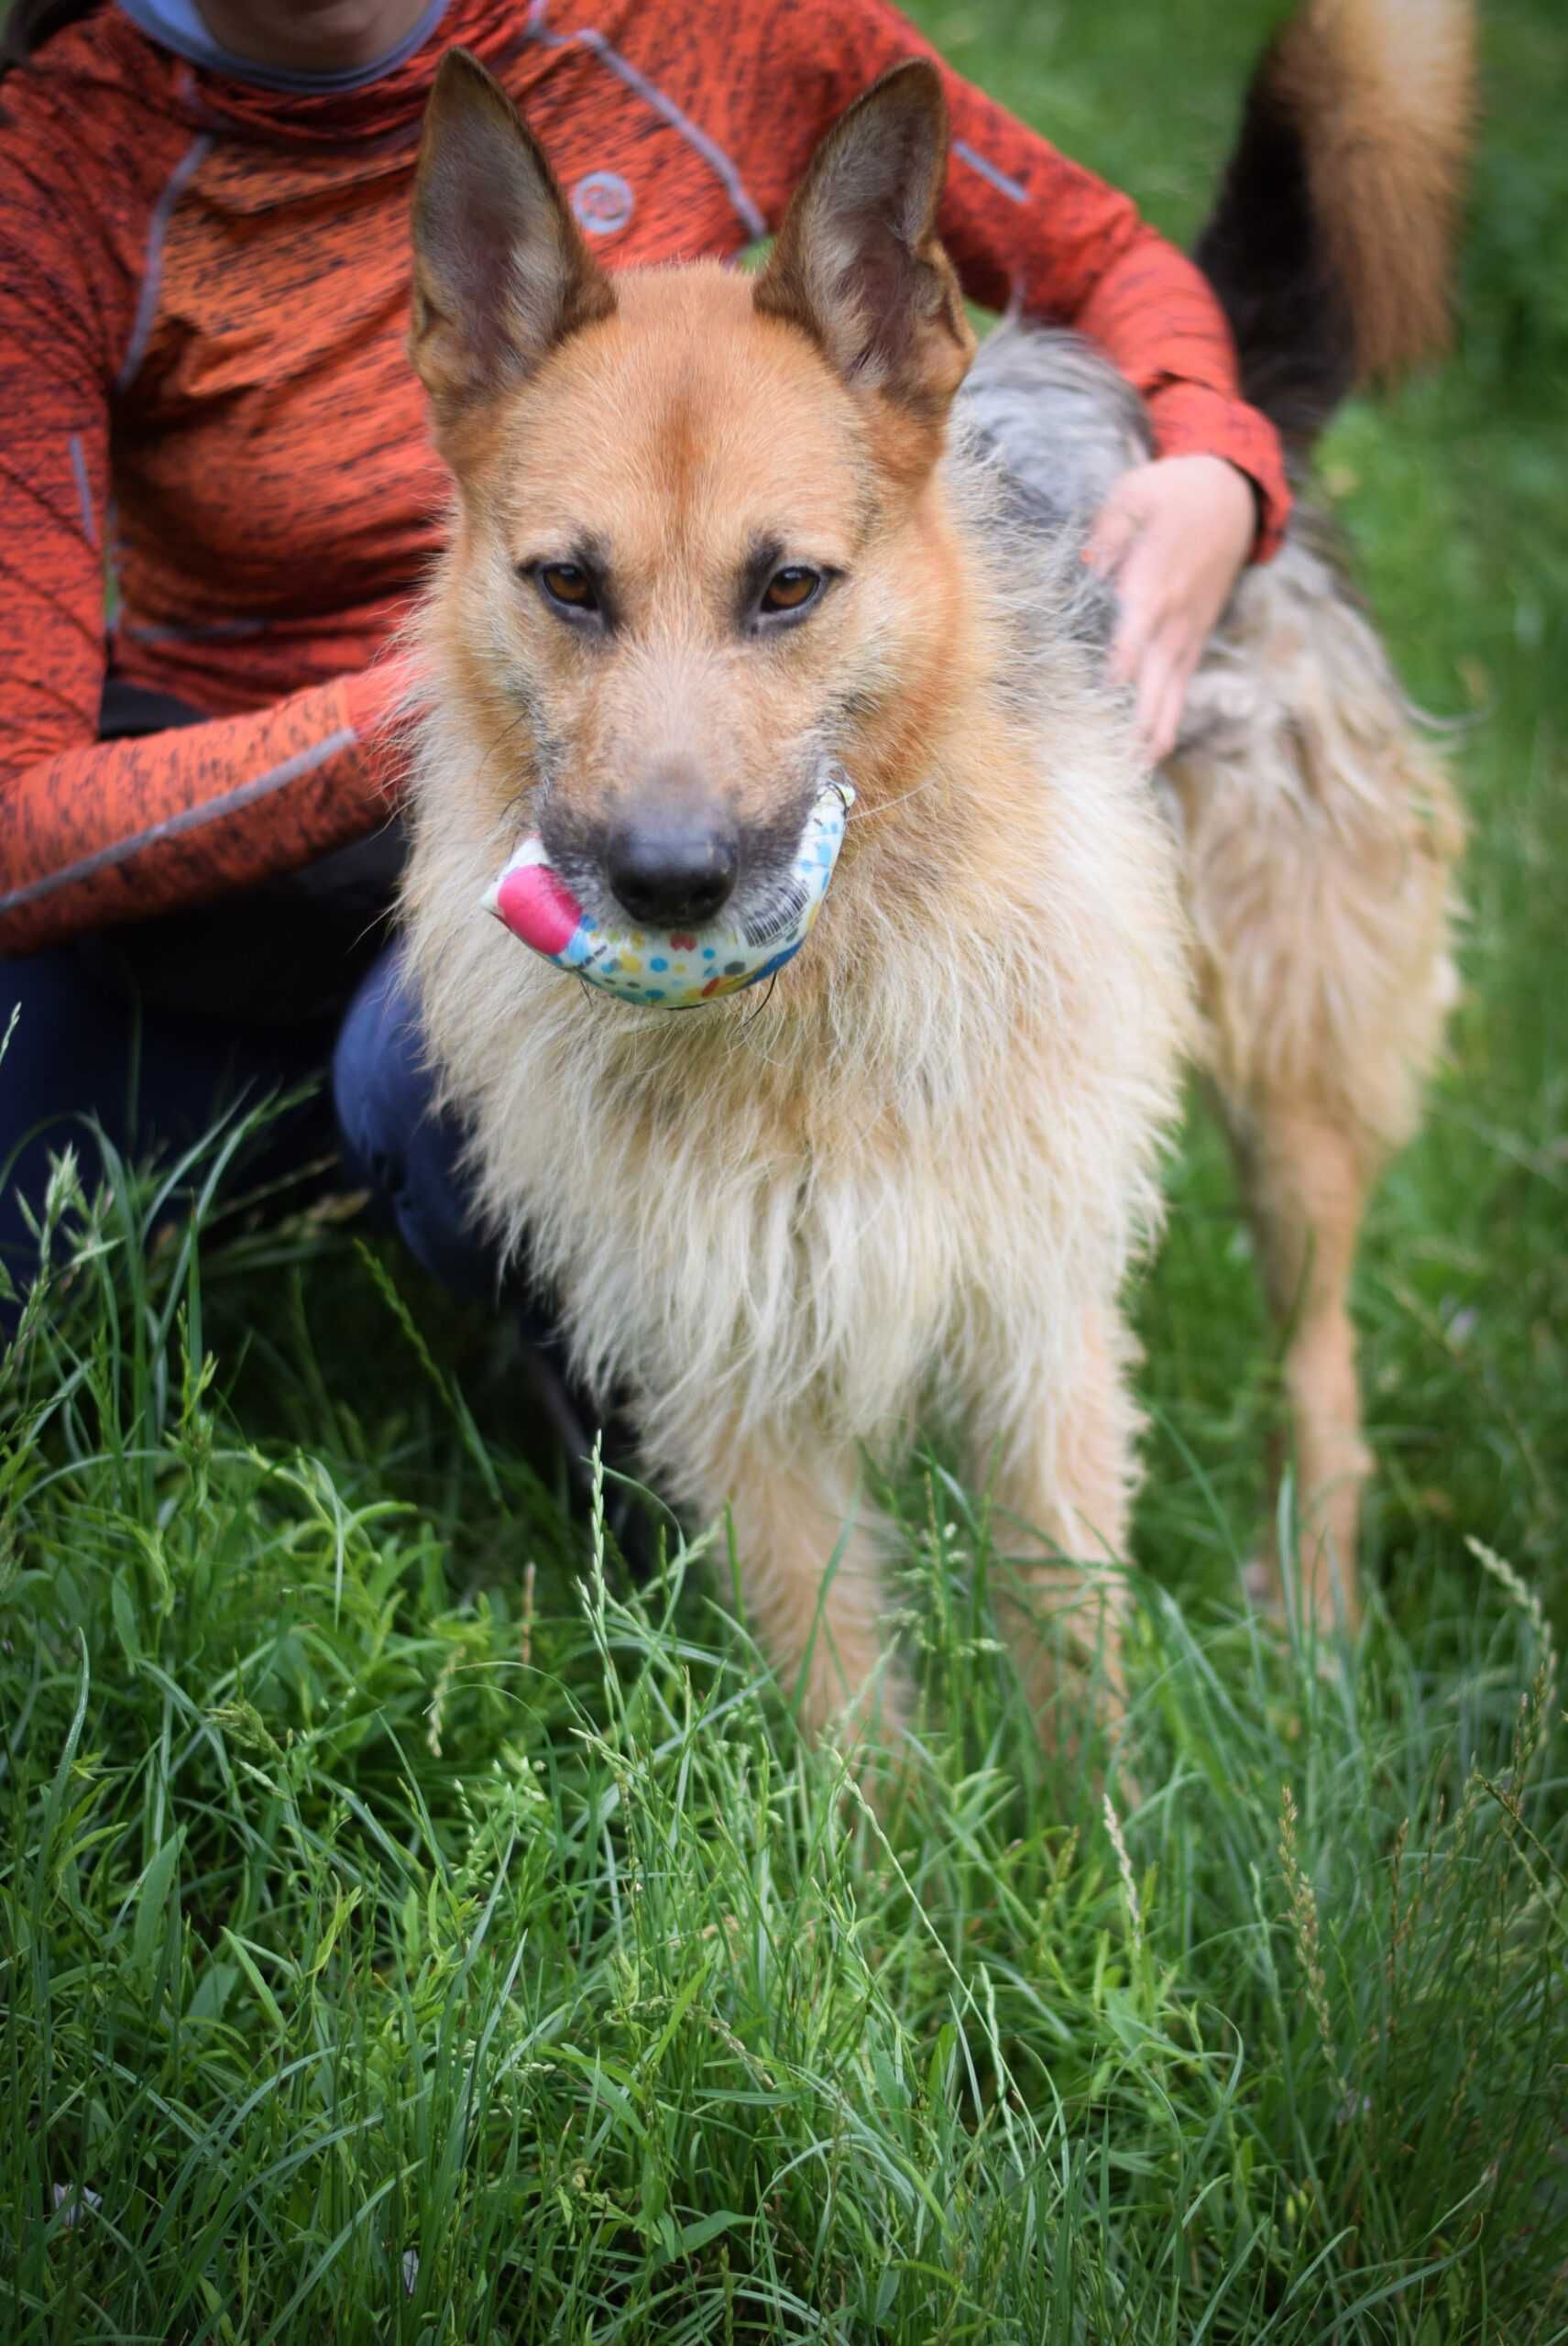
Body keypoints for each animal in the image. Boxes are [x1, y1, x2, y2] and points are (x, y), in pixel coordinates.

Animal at [394, 5, 1474, 1745]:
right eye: (566, 585)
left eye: (788, 587)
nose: (668, 885)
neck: (806, 1005)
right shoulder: (733, 1356)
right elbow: (846, 1719)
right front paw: (883, 1822)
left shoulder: (1037, 1322)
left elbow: (1071, 1683)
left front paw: (1095, 1827)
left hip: (1292, 1084)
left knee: (1325, 1372)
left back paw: (1312, 1635)